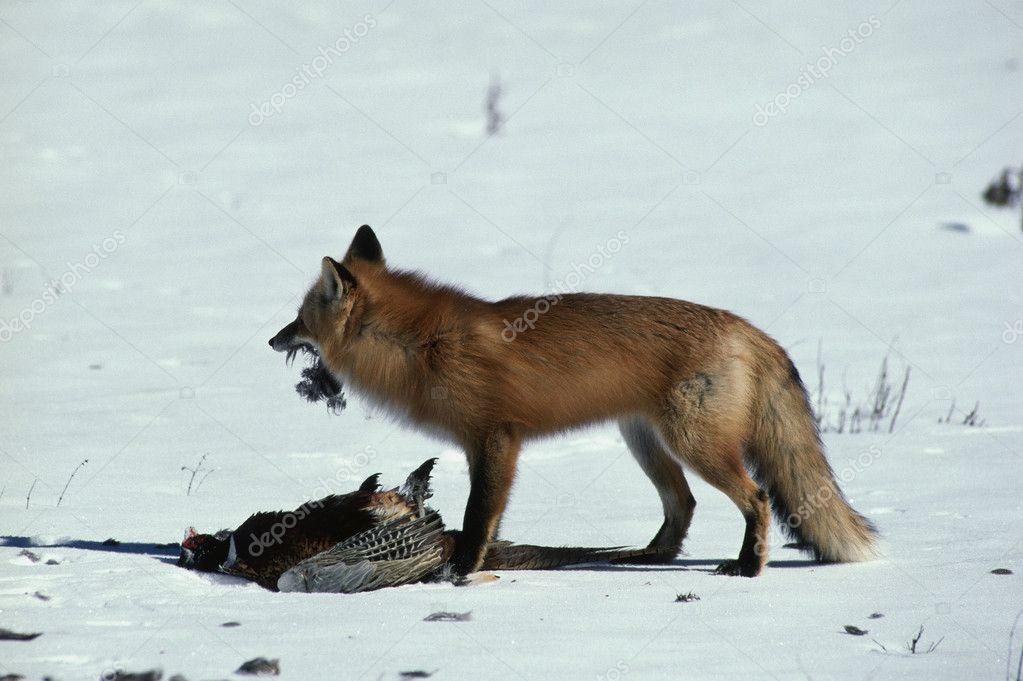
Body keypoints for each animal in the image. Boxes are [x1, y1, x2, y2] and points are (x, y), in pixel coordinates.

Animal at [270, 224, 879, 576]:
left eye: (298, 319)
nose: (272, 340)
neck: (419, 344)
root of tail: (748, 327)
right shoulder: (492, 444)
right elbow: (485, 518)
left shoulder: (495, 439)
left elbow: (477, 515)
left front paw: (460, 571)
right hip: (646, 442)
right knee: (683, 506)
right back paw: (647, 557)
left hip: (694, 444)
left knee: (757, 498)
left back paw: (747, 567)